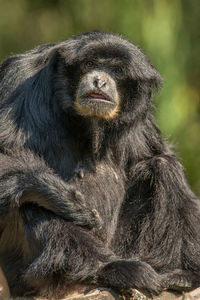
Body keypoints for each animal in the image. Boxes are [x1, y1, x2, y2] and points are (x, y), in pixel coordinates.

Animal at [0, 31, 200, 298]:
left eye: (116, 70)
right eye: (89, 64)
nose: (98, 81)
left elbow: (156, 155)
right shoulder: (19, 78)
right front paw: (66, 199)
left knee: (161, 166)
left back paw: (181, 275)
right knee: (28, 197)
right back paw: (109, 268)